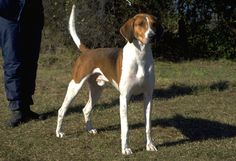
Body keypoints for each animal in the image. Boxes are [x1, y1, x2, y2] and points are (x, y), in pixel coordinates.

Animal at [56, 4, 163, 155]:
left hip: (96, 91)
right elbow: (125, 127)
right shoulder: (124, 97)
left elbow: (148, 125)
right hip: (75, 86)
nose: (152, 36)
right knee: (61, 110)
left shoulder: (148, 96)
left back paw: (89, 129)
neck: (140, 56)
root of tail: (88, 51)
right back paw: (59, 132)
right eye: (140, 24)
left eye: (153, 24)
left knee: (86, 109)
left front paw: (150, 145)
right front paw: (126, 149)